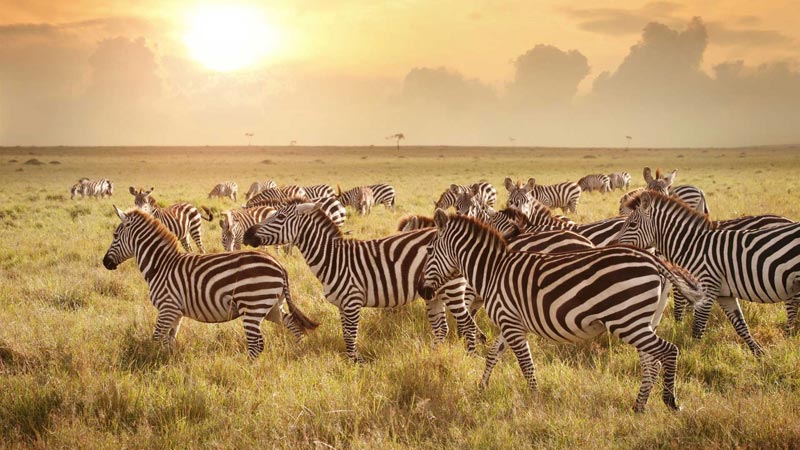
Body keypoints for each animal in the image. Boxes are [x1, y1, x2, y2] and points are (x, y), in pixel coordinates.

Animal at [103, 207, 318, 358]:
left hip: (252, 306)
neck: (161, 266)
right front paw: (168, 361)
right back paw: (297, 350)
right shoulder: (176, 312)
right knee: (293, 324)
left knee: (257, 344)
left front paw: (153, 361)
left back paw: (247, 370)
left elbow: (156, 338)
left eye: (115, 236)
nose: (105, 263)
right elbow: (169, 340)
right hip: (272, 306)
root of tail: (279, 266)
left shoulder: (167, 307)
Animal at [242, 200, 482, 362]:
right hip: (434, 293)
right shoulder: (342, 304)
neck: (334, 259)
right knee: (442, 328)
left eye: (280, 218)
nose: (246, 235)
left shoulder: (352, 301)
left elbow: (350, 337)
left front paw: (357, 365)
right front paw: (352, 364)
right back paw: (433, 356)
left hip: (452, 289)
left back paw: (469, 357)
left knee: (468, 325)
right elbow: (346, 335)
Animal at [422, 210, 704, 412]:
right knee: (651, 363)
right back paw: (639, 407)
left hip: (627, 321)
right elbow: (493, 354)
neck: (493, 270)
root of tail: (654, 260)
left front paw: (535, 400)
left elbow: (526, 364)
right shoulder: (510, 321)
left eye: (429, 251)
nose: (424, 292)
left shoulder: (510, 323)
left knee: (668, 351)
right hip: (643, 321)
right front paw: (482, 387)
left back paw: (670, 401)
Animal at [620, 192, 800, 354]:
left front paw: (692, 357)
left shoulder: (706, 288)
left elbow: (697, 328)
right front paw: (759, 354)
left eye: (632, 224)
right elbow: (740, 326)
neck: (692, 246)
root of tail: (787, 220)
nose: (615, 244)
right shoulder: (724, 294)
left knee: (792, 312)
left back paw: (788, 338)